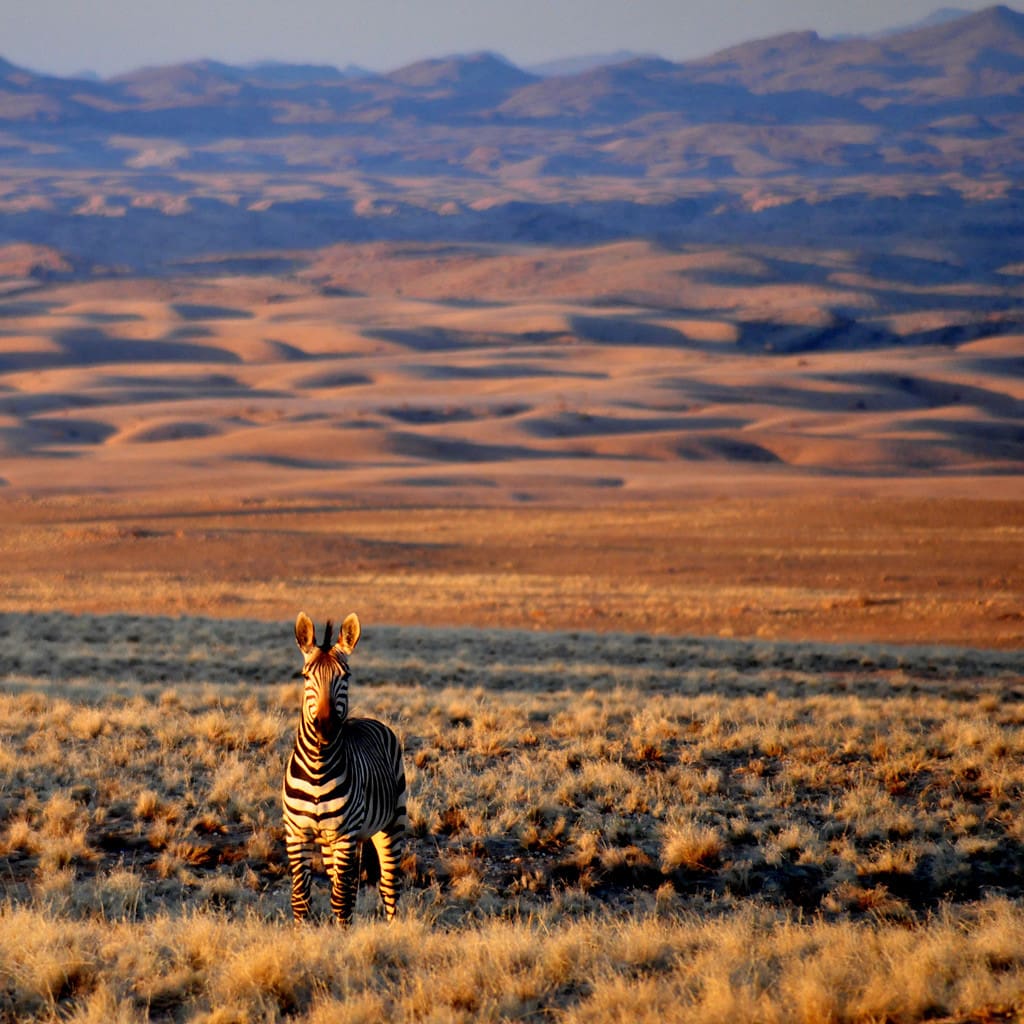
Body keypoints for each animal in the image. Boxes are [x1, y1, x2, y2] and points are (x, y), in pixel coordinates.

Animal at [282, 611, 407, 924]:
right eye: (305, 676)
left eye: (346, 676)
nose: (326, 727)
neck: (318, 768)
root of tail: (367, 719)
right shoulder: (297, 834)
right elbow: (301, 899)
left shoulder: (345, 834)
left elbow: (340, 900)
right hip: (335, 841)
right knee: (349, 887)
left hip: (392, 823)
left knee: (388, 886)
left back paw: (394, 929)